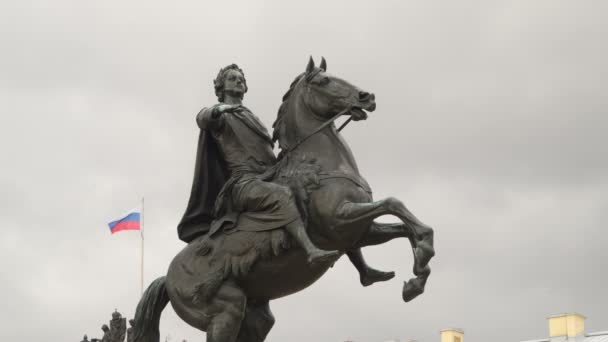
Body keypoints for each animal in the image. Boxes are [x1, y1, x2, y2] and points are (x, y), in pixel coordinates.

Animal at [135, 57, 434, 340]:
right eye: (324, 81)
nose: (366, 96)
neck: (317, 162)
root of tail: (168, 277)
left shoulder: (360, 232)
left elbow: (402, 225)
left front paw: (418, 272)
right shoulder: (340, 220)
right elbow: (393, 203)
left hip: (255, 318)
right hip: (225, 311)